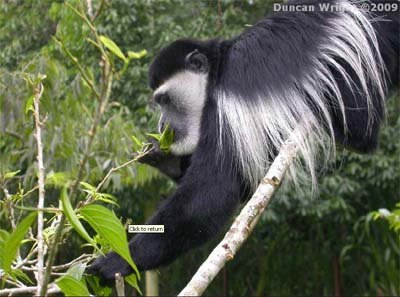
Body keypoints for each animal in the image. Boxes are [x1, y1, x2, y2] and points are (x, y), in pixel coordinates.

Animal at [89, 0, 398, 280]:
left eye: (164, 100)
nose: (162, 124)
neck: (217, 68)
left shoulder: (225, 103)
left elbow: (210, 194)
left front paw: (117, 260)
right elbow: (246, 180)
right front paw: (163, 157)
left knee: (362, 126)